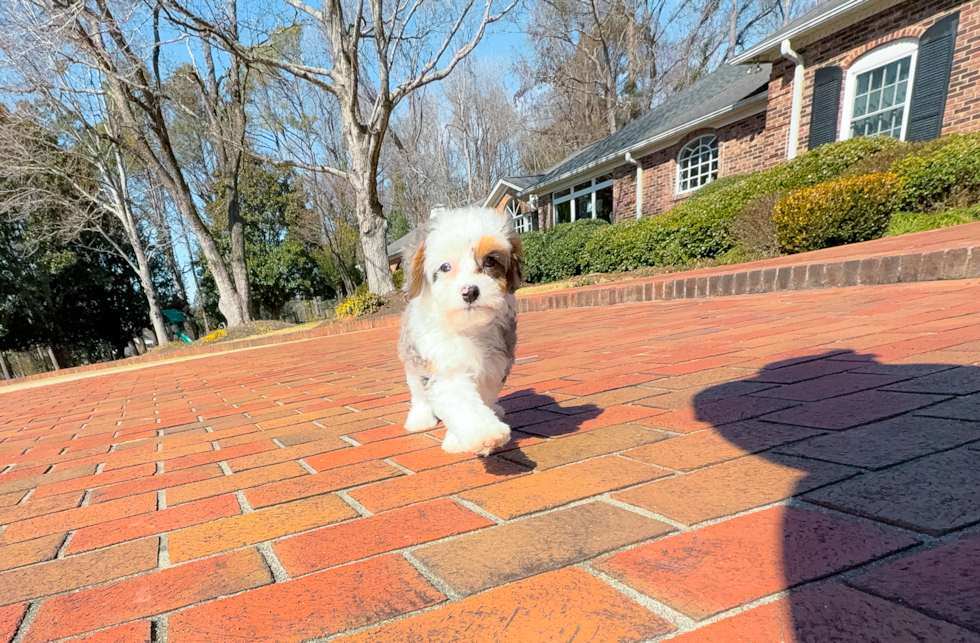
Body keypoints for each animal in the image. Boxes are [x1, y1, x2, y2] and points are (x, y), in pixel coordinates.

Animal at [396, 209, 524, 456]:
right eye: (445, 267)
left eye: (490, 260)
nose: (470, 291)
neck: (468, 327)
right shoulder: (443, 364)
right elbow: (461, 402)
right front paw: (484, 434)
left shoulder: (494, 366)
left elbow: (481, 398)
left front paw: (462, 436)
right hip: (411, 357)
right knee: (417, 391)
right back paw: (420, 418)